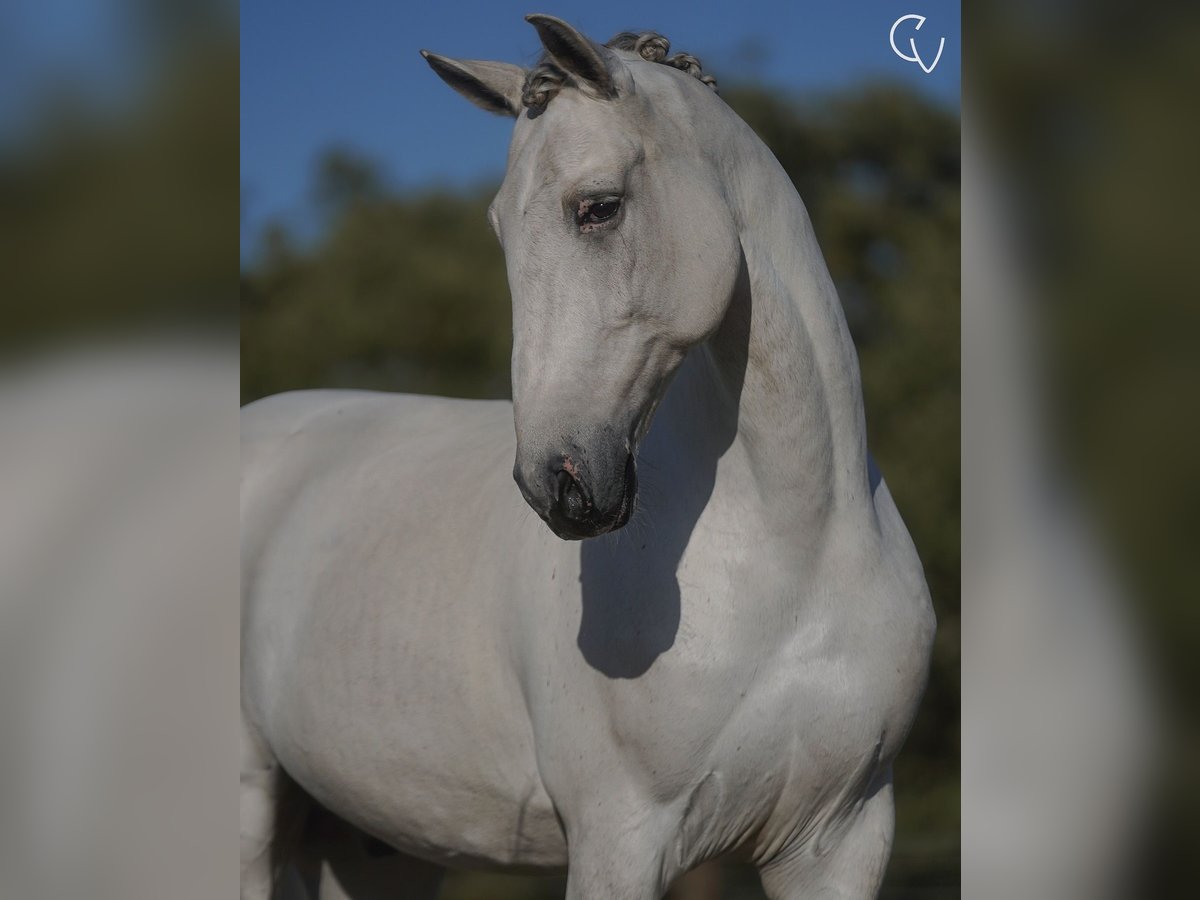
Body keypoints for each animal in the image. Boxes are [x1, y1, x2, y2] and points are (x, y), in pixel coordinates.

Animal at [241, 15, 936, 900]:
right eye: (500, 227)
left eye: (597, 208)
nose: (556, 483)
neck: (796, 550)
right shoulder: (620, 836)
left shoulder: (839, 840)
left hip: (373, 847)